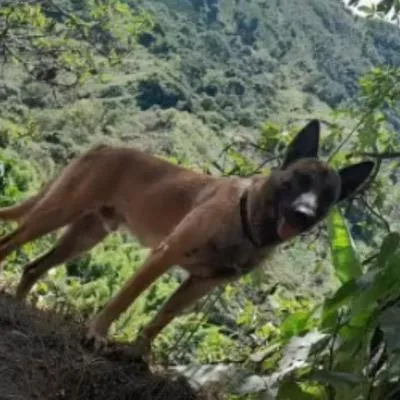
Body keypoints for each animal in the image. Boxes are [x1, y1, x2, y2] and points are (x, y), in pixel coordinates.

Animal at [0, 119, 376, 356]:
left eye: (328, 196)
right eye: (300, 180)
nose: (303, 214)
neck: (247, 224)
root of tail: (104, 147)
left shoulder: (200, 284)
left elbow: (163, 317)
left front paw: (138, 352)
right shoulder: (164, 255)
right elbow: (124, 301)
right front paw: (97, 333)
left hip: (84, 237)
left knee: (33, 267)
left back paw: (18, 302)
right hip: (57, 212)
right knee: (10, 243)